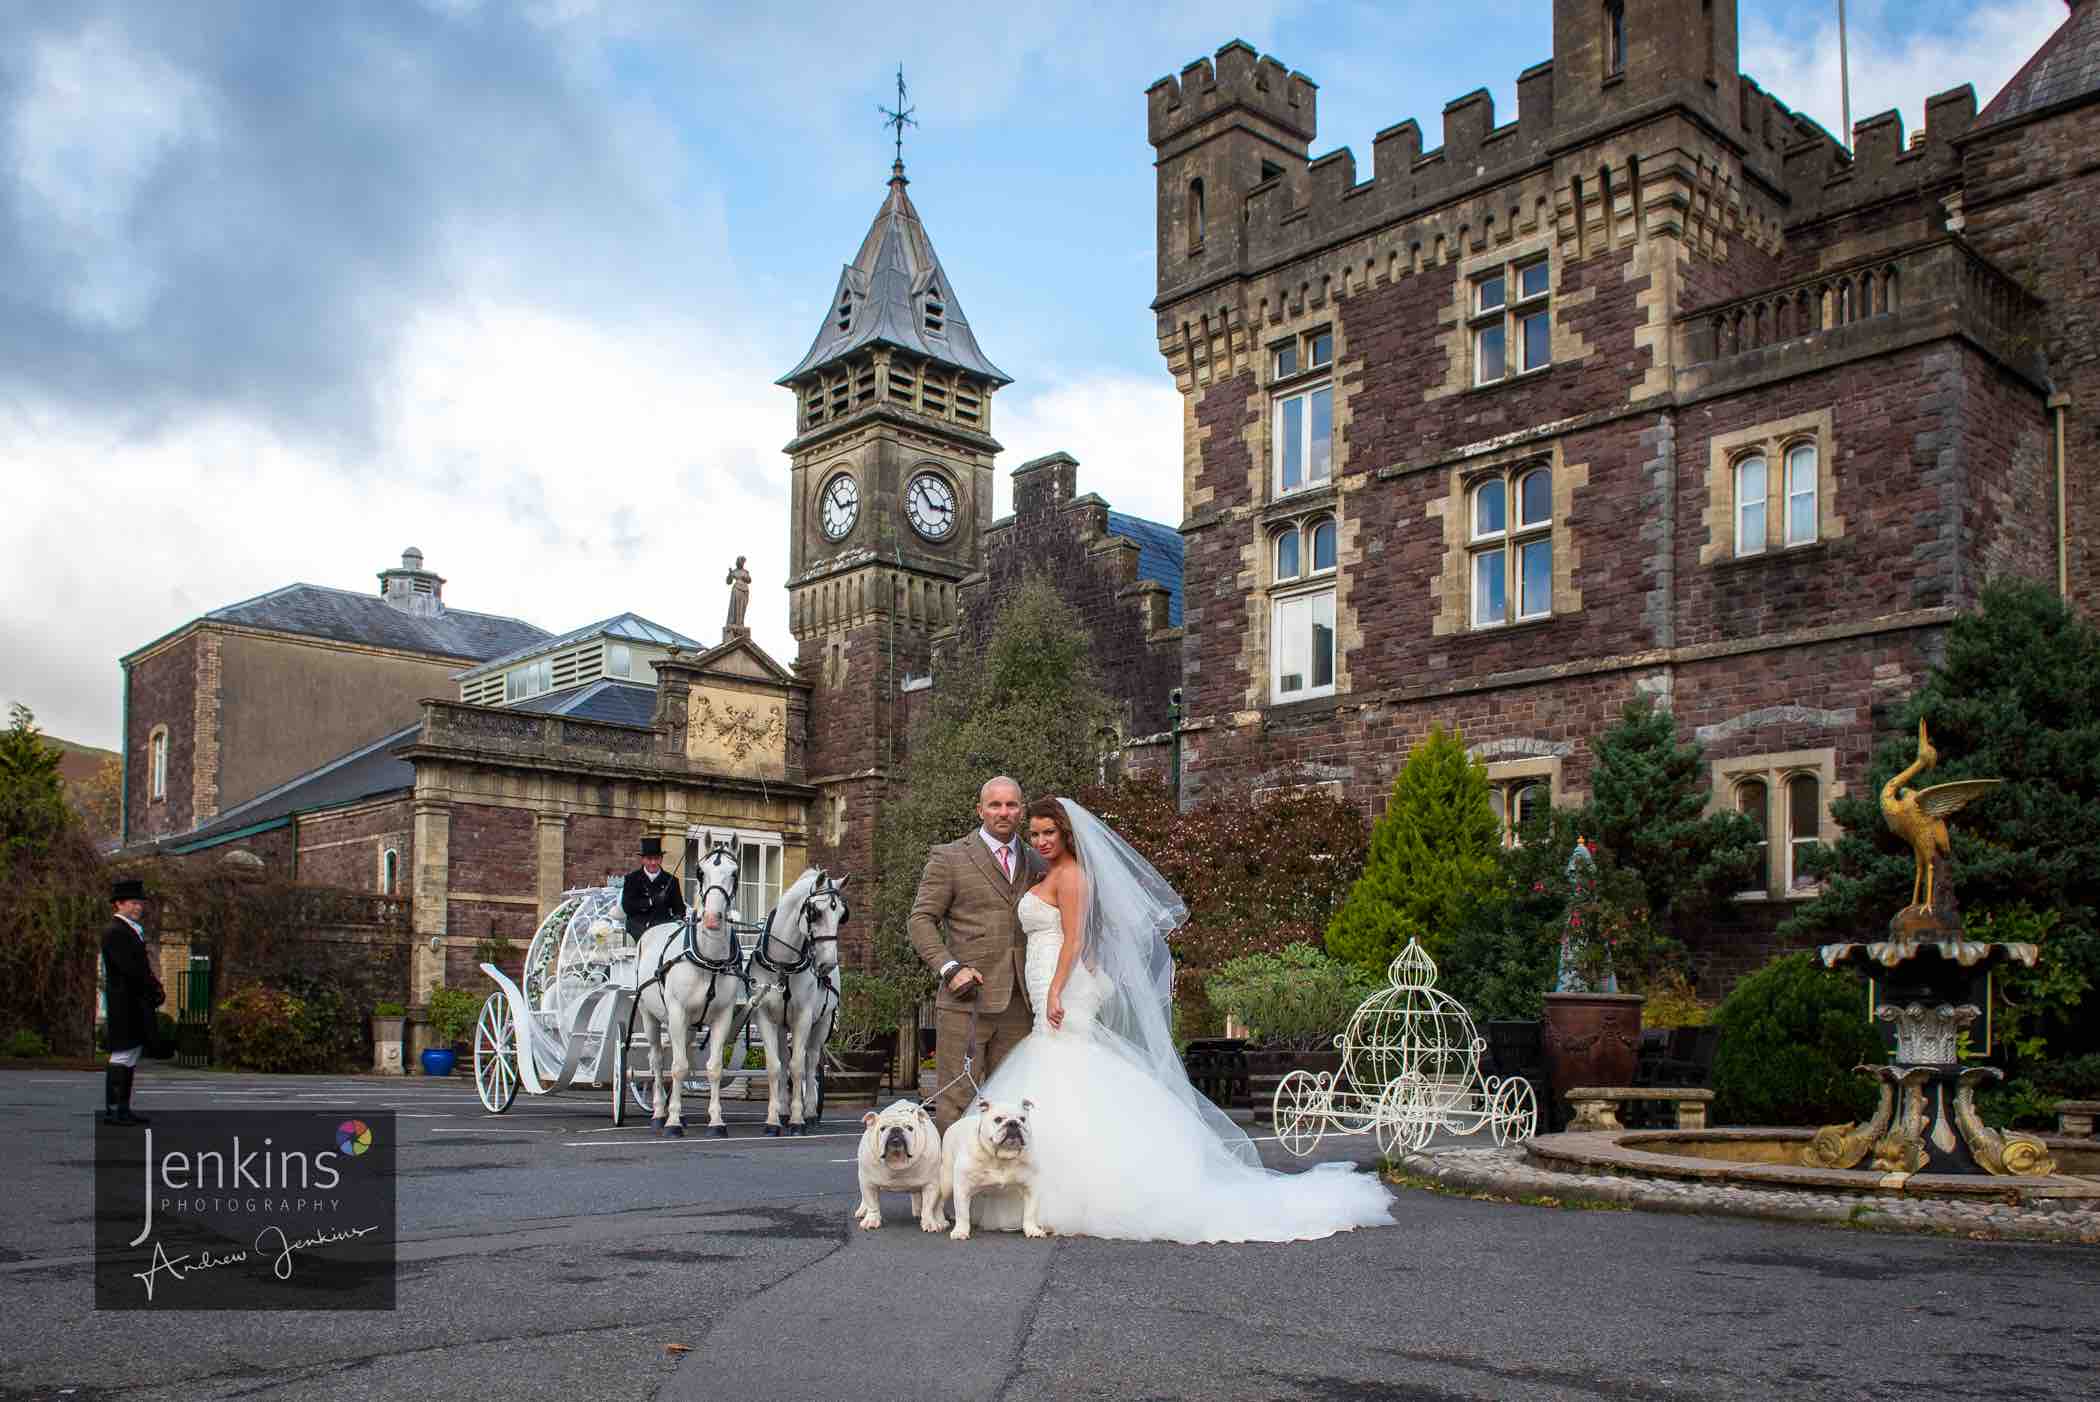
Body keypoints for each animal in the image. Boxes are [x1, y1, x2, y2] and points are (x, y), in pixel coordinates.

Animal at [630, 847, 747, 1133]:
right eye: (700, 872)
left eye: (734, 872)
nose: (713, 919)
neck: (708, 958)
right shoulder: (676, 1012)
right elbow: (678, 1067)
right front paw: (672, 1121)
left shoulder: (722, 1016)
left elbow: (714, 1068)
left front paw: (716, 1120)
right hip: (651, 1016)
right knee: (657, 1061)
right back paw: (659, 1112)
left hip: (689, 1024)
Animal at [751, 868, 848, 1133]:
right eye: (816, 912)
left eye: (842, 915)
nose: (827, 964)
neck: (784, 964)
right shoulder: (765, 1017)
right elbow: (775, 1066)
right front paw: (773, 1119)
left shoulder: (803, 1018)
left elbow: (798, 1067)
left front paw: (797, 1119)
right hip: (783, 1025)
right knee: (785, 1060)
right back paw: (784, 1110)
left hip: (822, 1022)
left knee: (811, 1061)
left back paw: (811, 1112)